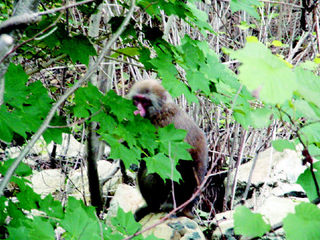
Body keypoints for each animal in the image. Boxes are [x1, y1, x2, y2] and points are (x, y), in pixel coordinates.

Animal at [127, 79, 208, 220]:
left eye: (145, 101)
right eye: (137, 100)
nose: (137, 110)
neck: (159, 111)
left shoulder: (160, 126)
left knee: (156, 170)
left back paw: (160, 206)